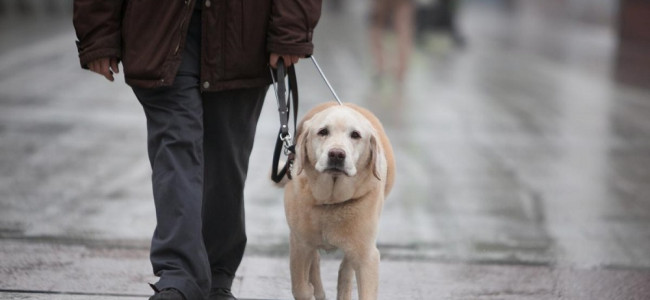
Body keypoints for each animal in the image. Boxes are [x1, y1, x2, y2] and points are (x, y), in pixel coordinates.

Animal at [280, 102, 392, 298]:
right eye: (323, 131)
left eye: (355, 135)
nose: (337, 154)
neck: (330, 202)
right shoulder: (299, 244)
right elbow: (300, 288)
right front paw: (310, 290)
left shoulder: (367, 256)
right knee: (316, 263)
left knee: (345, 269)